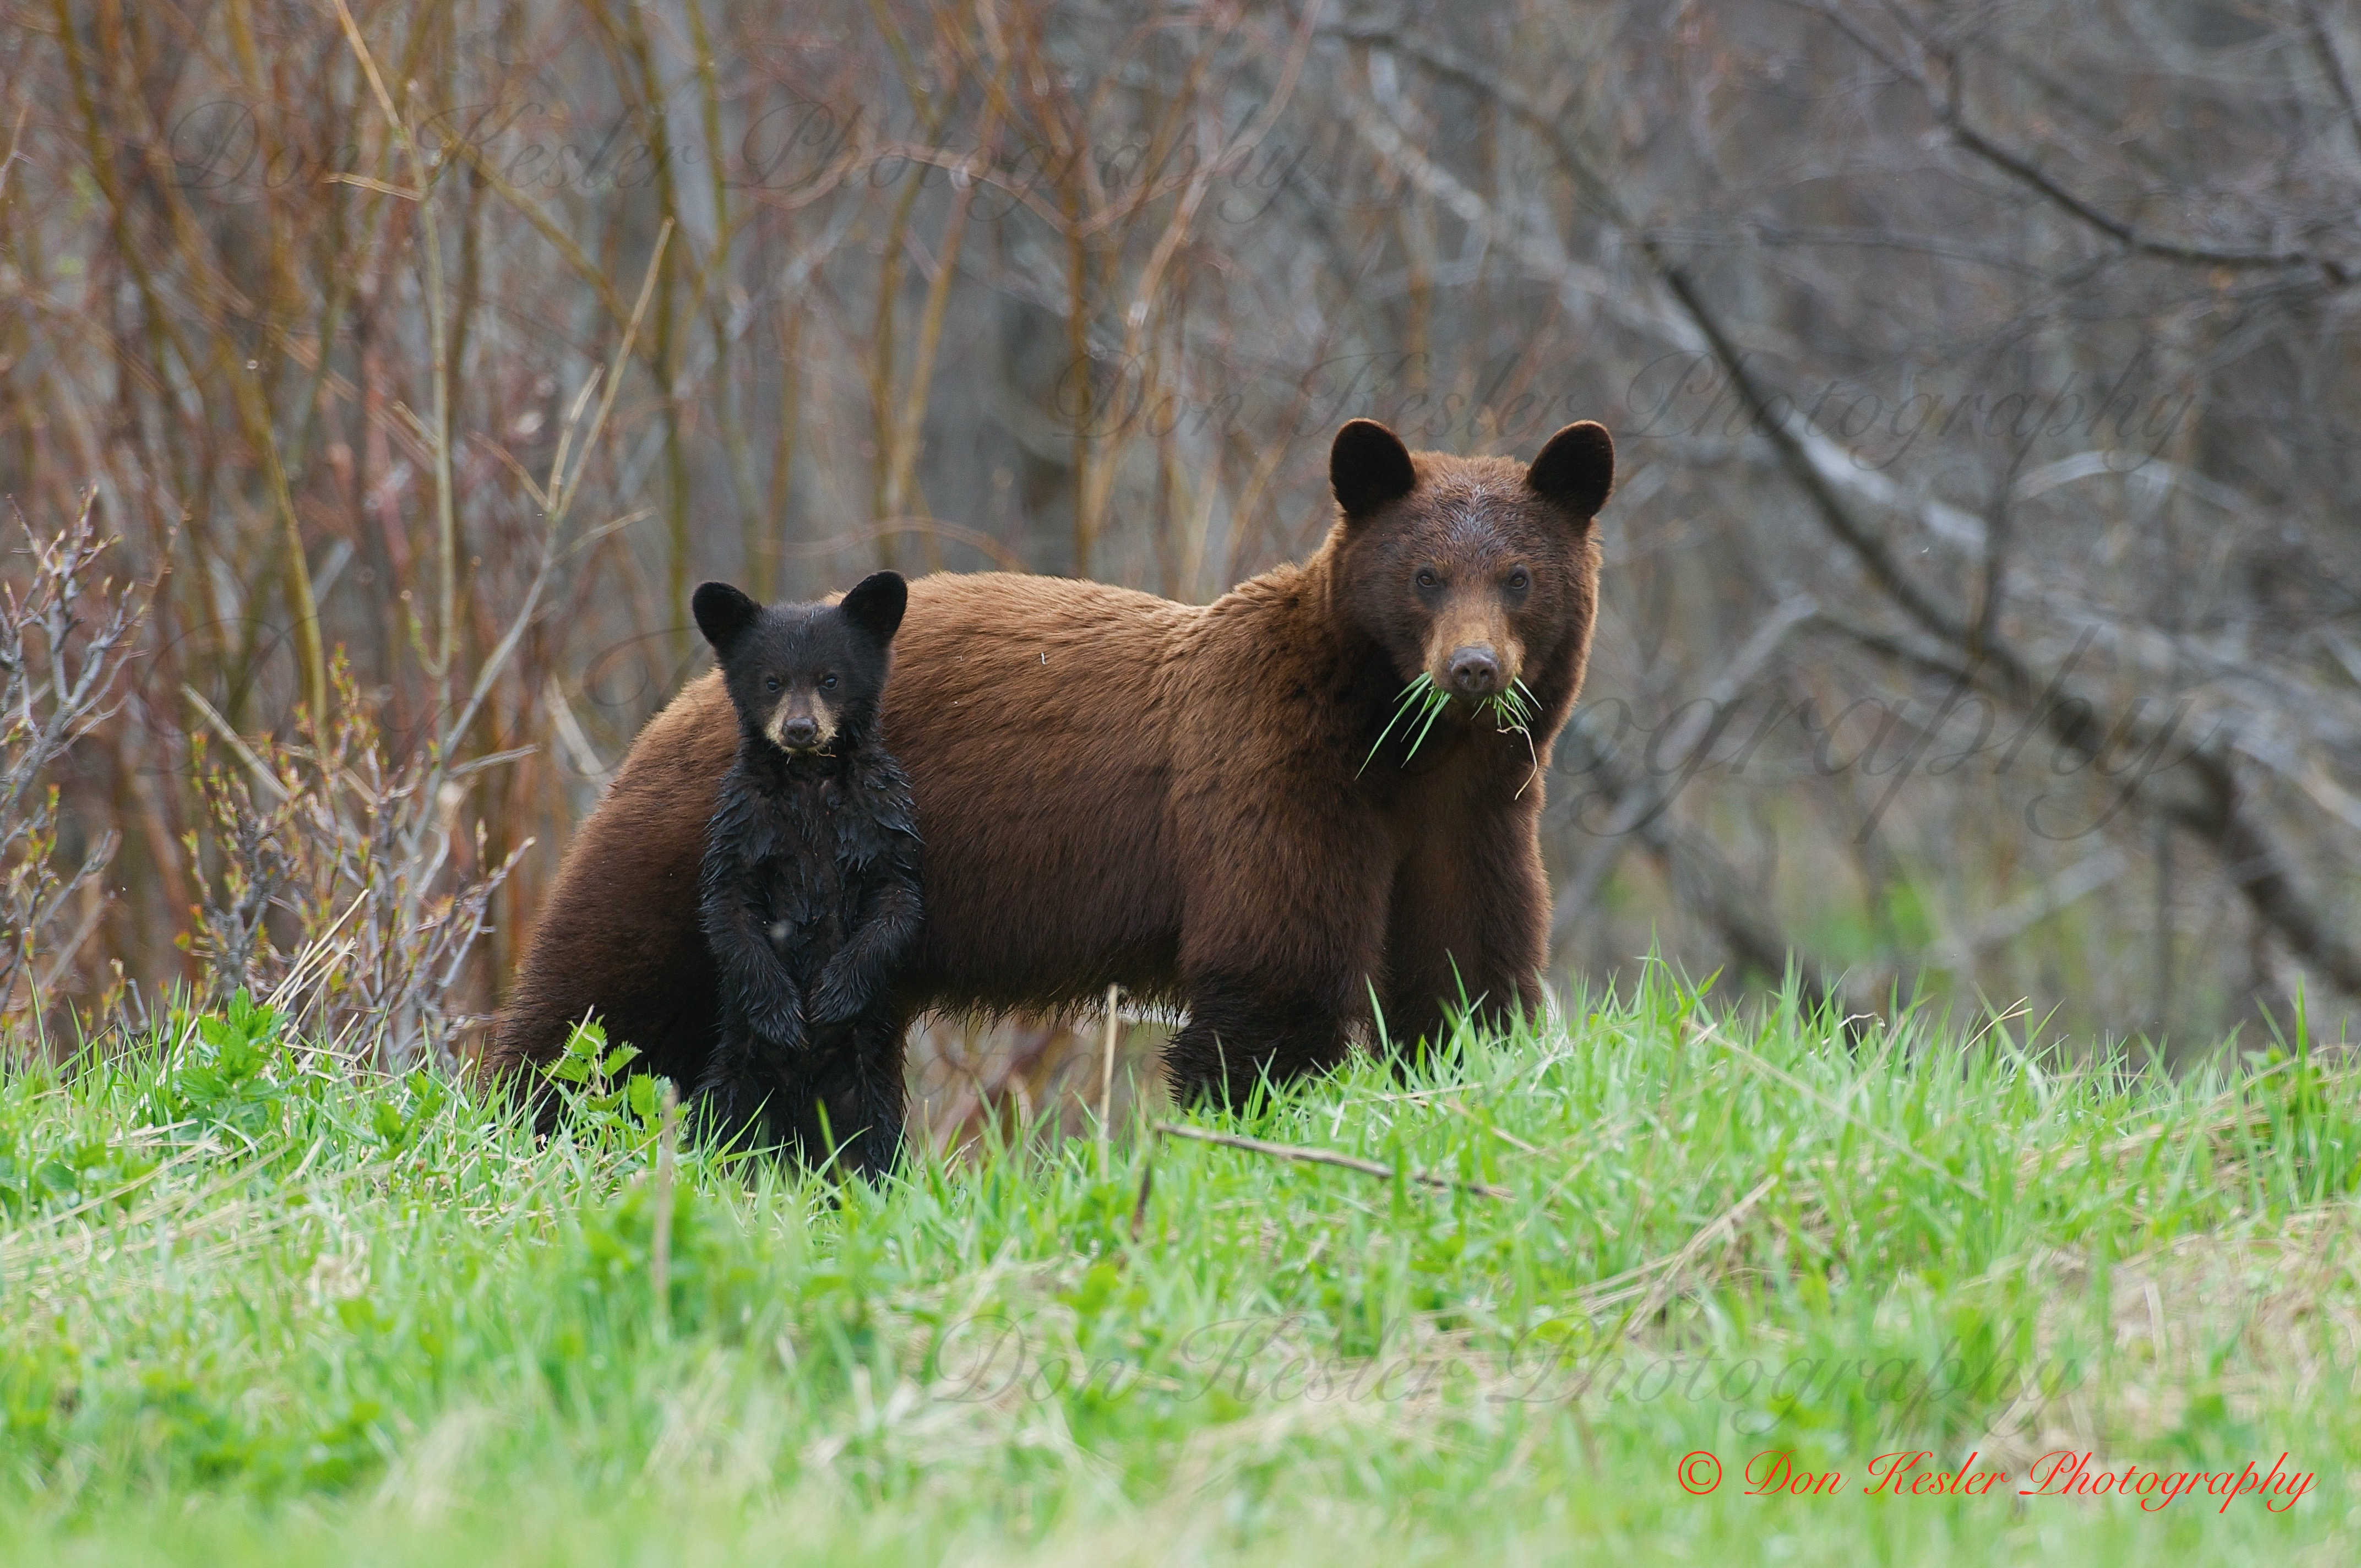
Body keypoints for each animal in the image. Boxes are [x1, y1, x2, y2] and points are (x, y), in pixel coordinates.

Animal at [487, 416, 1613, 1111]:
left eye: (1519, 577)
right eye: (1424, 575)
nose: (1472, 669)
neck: (1403, 754)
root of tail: (670, 711)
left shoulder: (1476, 819)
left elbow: (1466, 972)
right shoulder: (1273, 779)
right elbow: (1273, 977)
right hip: (692, 859)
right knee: (597, 1002)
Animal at [687, 571, 921, 1177]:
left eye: (830, 678)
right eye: (771, 681)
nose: (800, 728)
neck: (810, 781)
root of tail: (796, 1134)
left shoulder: (882, 822)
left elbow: (898, 905)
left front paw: (836, 994)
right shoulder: (743, 826)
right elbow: (728, 910)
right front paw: (782, 1015)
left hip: (864, 1092)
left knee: (878, 1151)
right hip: (734, 1077)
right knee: (712, 1129)